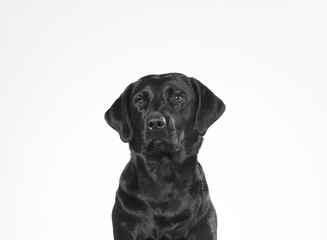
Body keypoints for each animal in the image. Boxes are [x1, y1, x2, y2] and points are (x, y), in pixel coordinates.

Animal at [105, 72, 226, 239]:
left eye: (178, 97)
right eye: (139, 101)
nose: (155, 122)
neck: (164, 175)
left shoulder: (204, 227)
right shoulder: (126, 227)